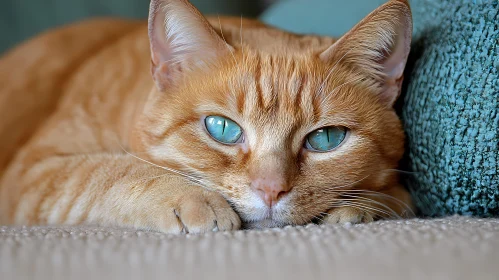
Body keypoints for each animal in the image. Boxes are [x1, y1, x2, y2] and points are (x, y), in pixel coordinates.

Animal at [0, 0, 414, 232]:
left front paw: (366, 205)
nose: (271, 190)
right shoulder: (31, 173)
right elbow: (106, 171)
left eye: (326, 139)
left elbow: (401, 198)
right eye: (222, 128)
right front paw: (189, 197)